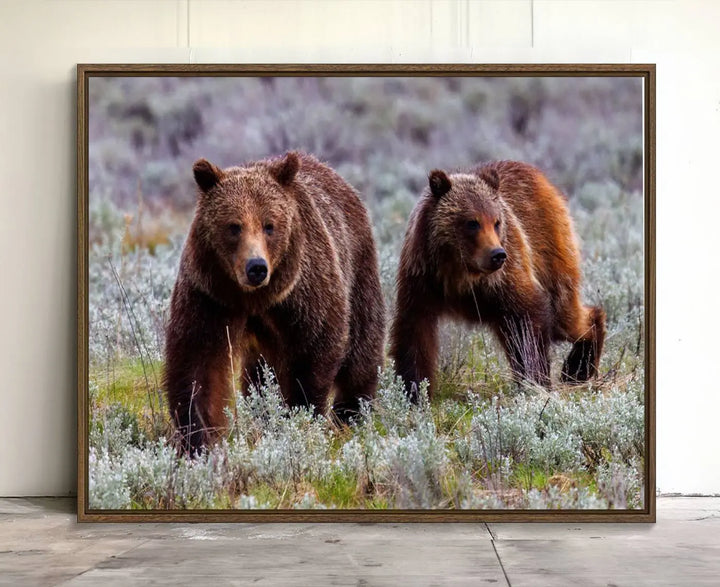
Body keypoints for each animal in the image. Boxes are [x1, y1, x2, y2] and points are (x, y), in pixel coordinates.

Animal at [165, 153, 386, 454]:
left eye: (269, 225)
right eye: (233, 226)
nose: (256, 267)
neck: (255, 298)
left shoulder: (303, 295)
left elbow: (313, 353)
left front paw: (300, 416)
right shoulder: (210, 296)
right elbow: (198, 365)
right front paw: (198, 438)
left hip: (358, 267)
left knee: (362, 347)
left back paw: (351, 412)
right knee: (257, 375)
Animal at [390, 161, 604, 400]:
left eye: (497, 222)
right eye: (472, 222)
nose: (497, 254)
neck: (460, 272)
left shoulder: (506, 277)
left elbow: (528, 320)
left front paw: (535, 380)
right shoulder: (422, 278)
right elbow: (414, 332)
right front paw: (413, 390)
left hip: (549, 249)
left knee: (564, 314)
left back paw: (578, 367)